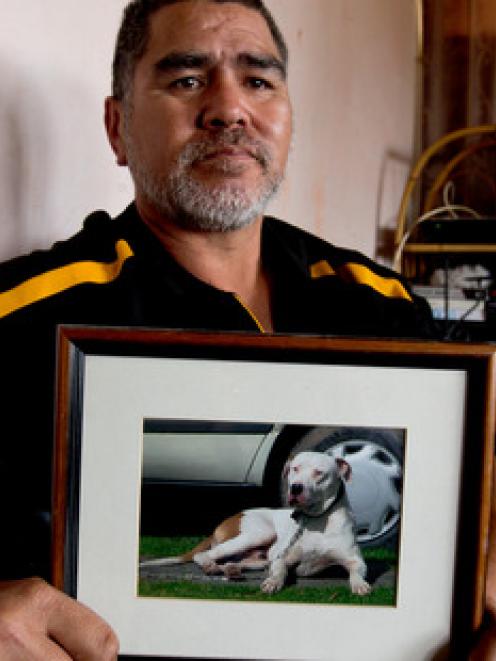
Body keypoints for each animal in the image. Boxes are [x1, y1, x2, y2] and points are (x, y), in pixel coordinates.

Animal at [141, 448, 370, 592]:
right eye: (295, 468)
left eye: (319, 473)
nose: (295, 487)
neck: (317, 519)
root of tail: (234, 516)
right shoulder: (281, 558)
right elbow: (279, 570)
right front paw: (273, 582)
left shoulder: (355, 560)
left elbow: (357, 572)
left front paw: (359, 584)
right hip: (258, 533)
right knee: (205, 555)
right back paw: (211, 566)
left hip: (259, 556)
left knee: (234, 562)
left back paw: (231, 570)